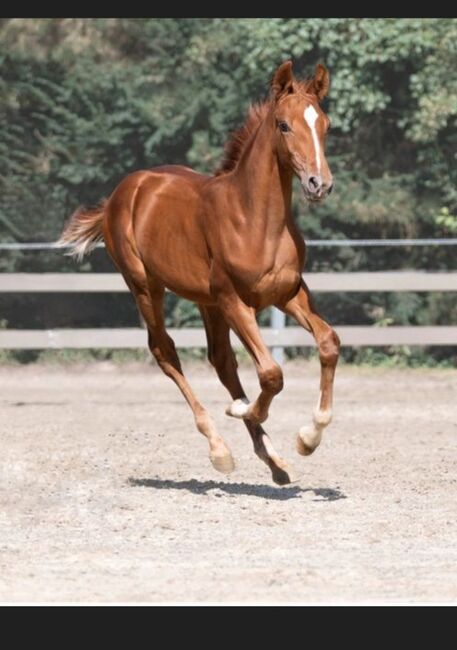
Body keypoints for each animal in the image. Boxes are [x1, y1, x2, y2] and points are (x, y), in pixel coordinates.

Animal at [58, 60, 338, 484]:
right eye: (284, 125)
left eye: (324, 125)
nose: (319, 184)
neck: (255, 220)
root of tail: (122, 193)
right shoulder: (234, 299)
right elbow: (271, 373)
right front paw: (245, 410)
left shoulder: (288, 294)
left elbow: (328, 343)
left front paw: (309, 437)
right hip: (146, 286)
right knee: (165, 352)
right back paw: (220, 448)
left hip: (207, 303)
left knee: (221, 361)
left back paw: (272, 459)